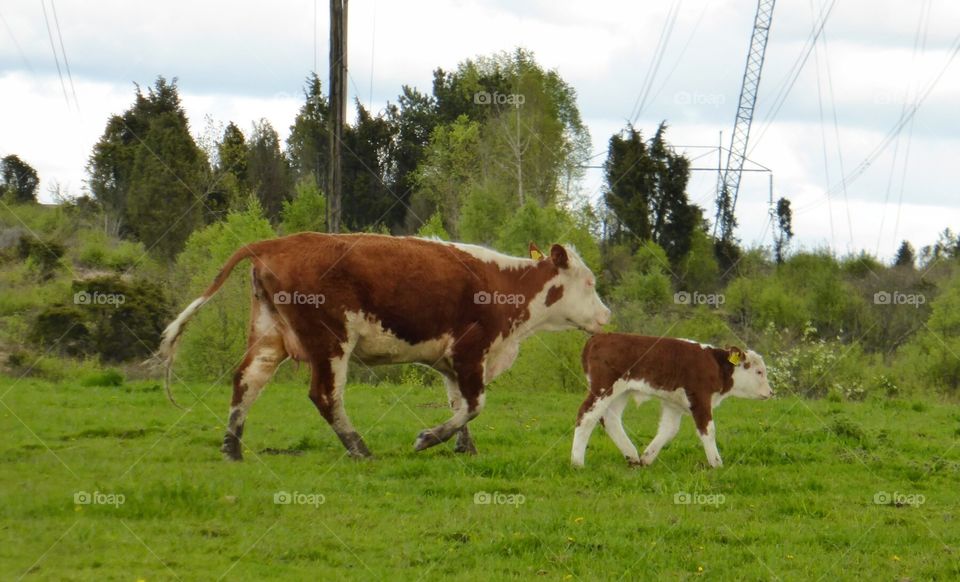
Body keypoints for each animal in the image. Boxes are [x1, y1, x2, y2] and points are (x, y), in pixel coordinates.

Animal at [568, 334, 772, 470]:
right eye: (759, 372)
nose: (771, 392)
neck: (715, 364)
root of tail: (599, 337)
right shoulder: (700, 397)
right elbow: (708, 430)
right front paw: (716, 463)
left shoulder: (673, 404)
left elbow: (669, 430)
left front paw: (647, 457)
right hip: (603, 388)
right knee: (586, 416)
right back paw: (577, 462)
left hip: (620, 392)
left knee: (610, 419)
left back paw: (632, 456)